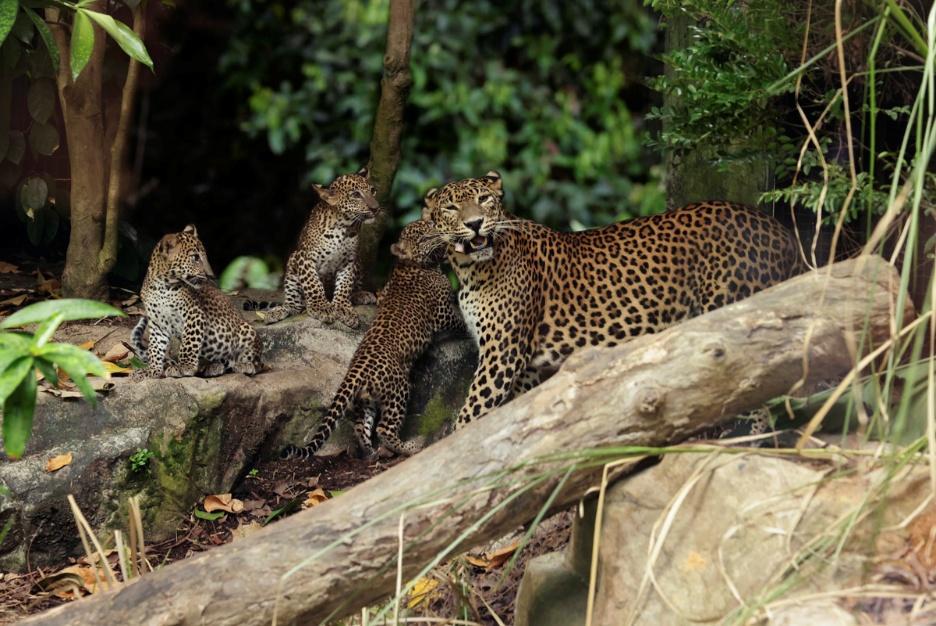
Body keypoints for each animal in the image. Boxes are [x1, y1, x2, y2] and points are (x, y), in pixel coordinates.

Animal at [130, 224, 263, 380]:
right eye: (195, 257)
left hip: (246, 331)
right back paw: (213, 366)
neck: (162, 286)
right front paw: (151, 371)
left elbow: (189, 342)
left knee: (255, 362)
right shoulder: (158, 323)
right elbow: (155, 349)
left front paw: (184, 366)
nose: (211, 275)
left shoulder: (194, 313)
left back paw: (244, 365)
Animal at [262, 167, 380, 329]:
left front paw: (343, 308)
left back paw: (361, 295)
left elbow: (345, 285)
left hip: (359, 262)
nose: (375, 208)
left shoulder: (349, 261)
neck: (344, 227)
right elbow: (313, 284)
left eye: (372, 191)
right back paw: (276, 312)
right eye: (356, 195)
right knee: (294, 306)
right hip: (292, 263)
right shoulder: (305, 258)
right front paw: (321, 307)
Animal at [282, 219, 464, 460]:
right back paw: (409, 448)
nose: (442, 233)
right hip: (398, 390)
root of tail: (357, 369)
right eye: (425, 237)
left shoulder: (383, 293)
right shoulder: (442, 313)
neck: (409, 265)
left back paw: (371, 453)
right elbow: (458, 320)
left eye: (432, 226)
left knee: (362, 427)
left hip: (364, 400)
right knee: (384, 428)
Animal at [423, 171, 802, 428]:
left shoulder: (501, 356)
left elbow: (469, 418)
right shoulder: (524, 367)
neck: (471, 270)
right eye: (451, 207)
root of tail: (779, 230)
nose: (475, 223)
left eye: (484, 200)